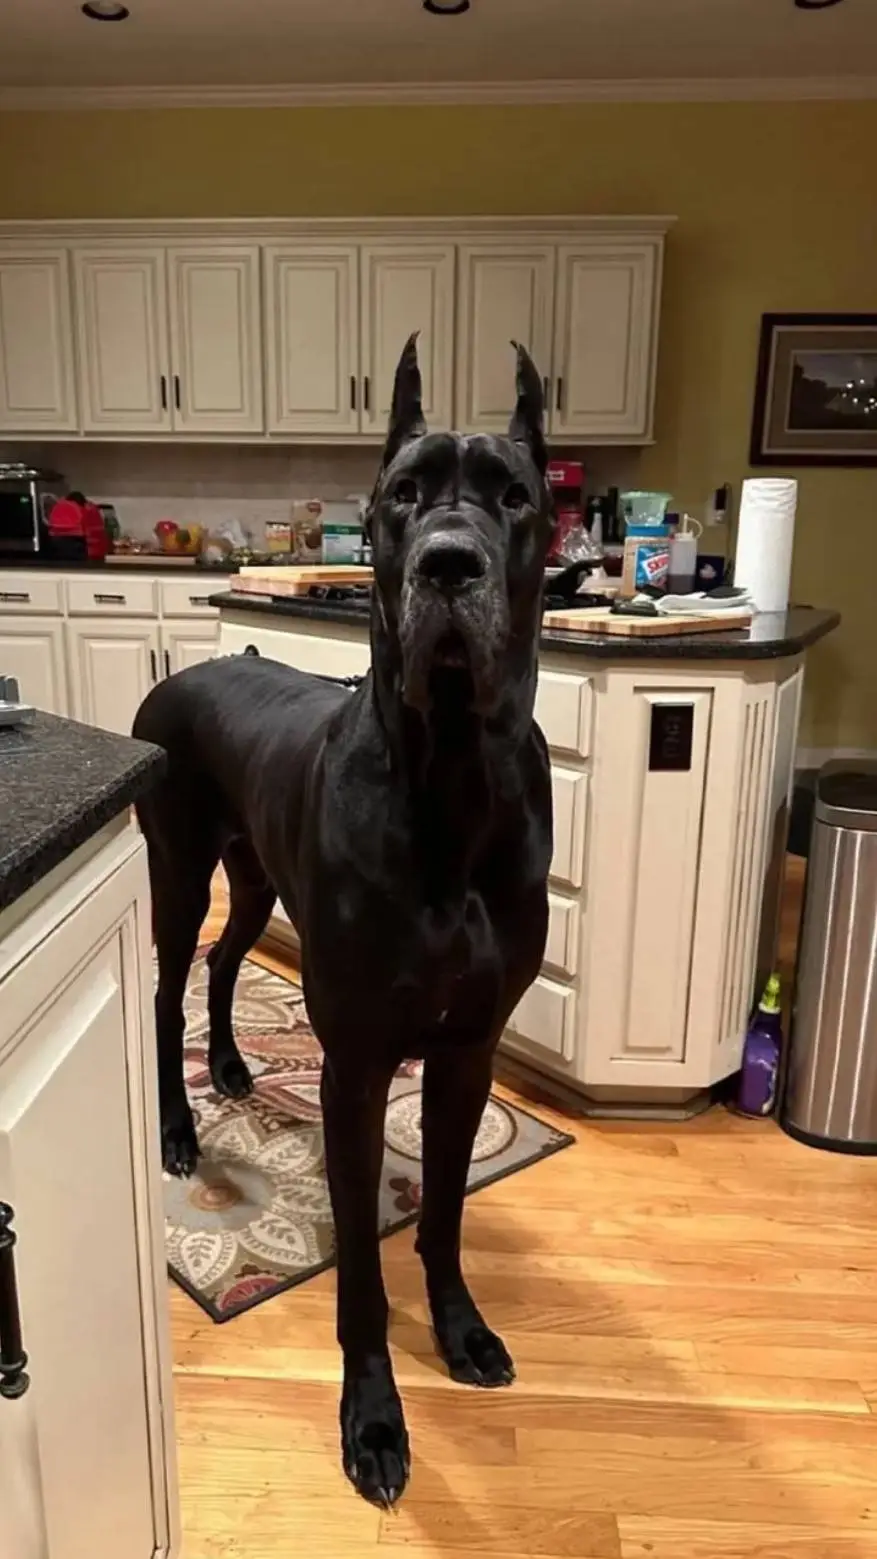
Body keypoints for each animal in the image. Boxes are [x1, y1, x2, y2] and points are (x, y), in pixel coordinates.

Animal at [133, 335, 556, 1506]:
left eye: (514, 494)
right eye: (401, 493)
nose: (449, 565)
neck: (451, 772)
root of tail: (186, 670)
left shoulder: (466, 1050)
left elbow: (445, 1210)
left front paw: (460, 1326)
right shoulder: (358, 1063)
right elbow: (362, 1258)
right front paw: (372, 1414)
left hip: (257, 878)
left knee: (227, 963)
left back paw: (235, 1067)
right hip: (179, 868)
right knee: (168, 987)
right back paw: (181, 1128)